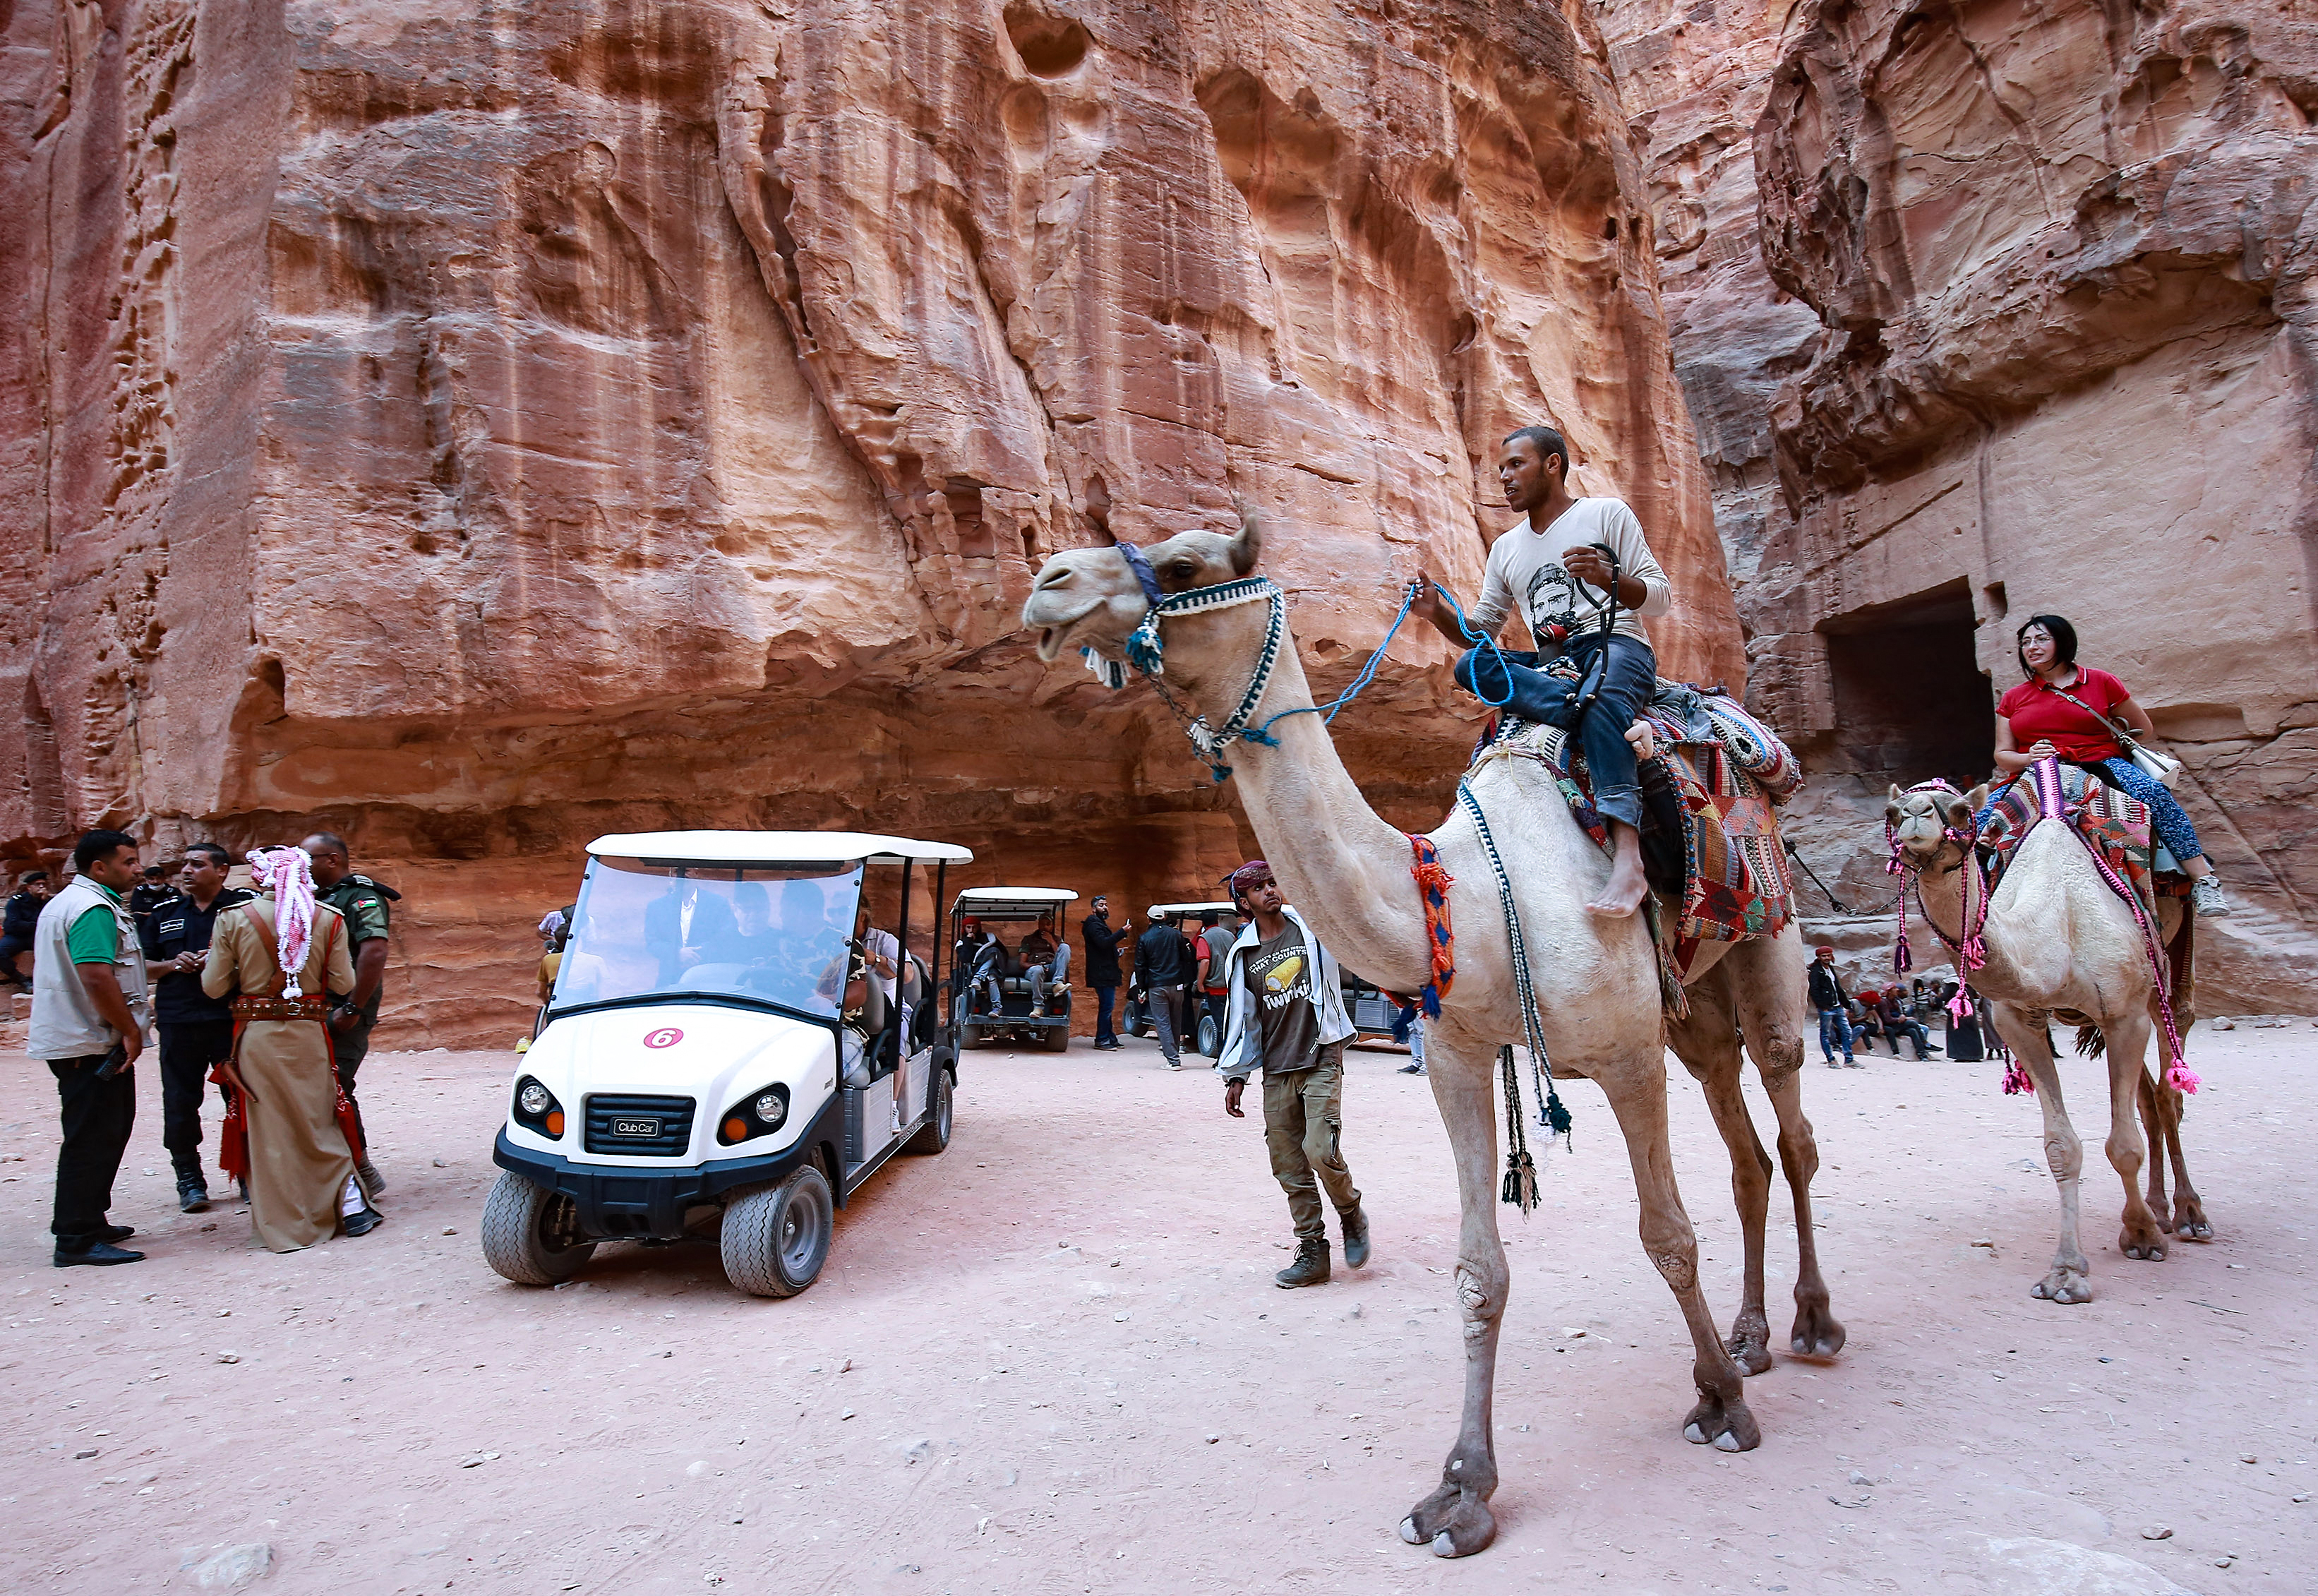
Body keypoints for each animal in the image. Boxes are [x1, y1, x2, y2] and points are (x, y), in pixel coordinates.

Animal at [1024, 520, 1835, 1559]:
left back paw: (1809, 1326)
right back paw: (1750, 1335)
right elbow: (1478, 1271)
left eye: (1183, 565)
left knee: (1789, 1122)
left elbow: (1666, 1235)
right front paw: (1460, 1490)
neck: (1477, 899)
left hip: (1769, 941)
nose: (1047, 584)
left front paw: (1721, 1407)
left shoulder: (1624, 1056)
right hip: (1692, 1011)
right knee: (1744, 1149)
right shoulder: (1455, 1057)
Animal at [1882, 779, 2206, 1299]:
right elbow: (2062, 1146)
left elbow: (2123, 1144)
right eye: (1892, 812)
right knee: (2148, 1101)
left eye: (1961, 810)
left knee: (2170, 1080)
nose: (1915, 815)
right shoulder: (2019, 1020)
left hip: (2169, 960)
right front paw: (2067, 1272)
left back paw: (2190, 1214)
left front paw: (2140, 1236)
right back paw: (2158, 1207)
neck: (2060, 922)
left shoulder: (2125, 1014)